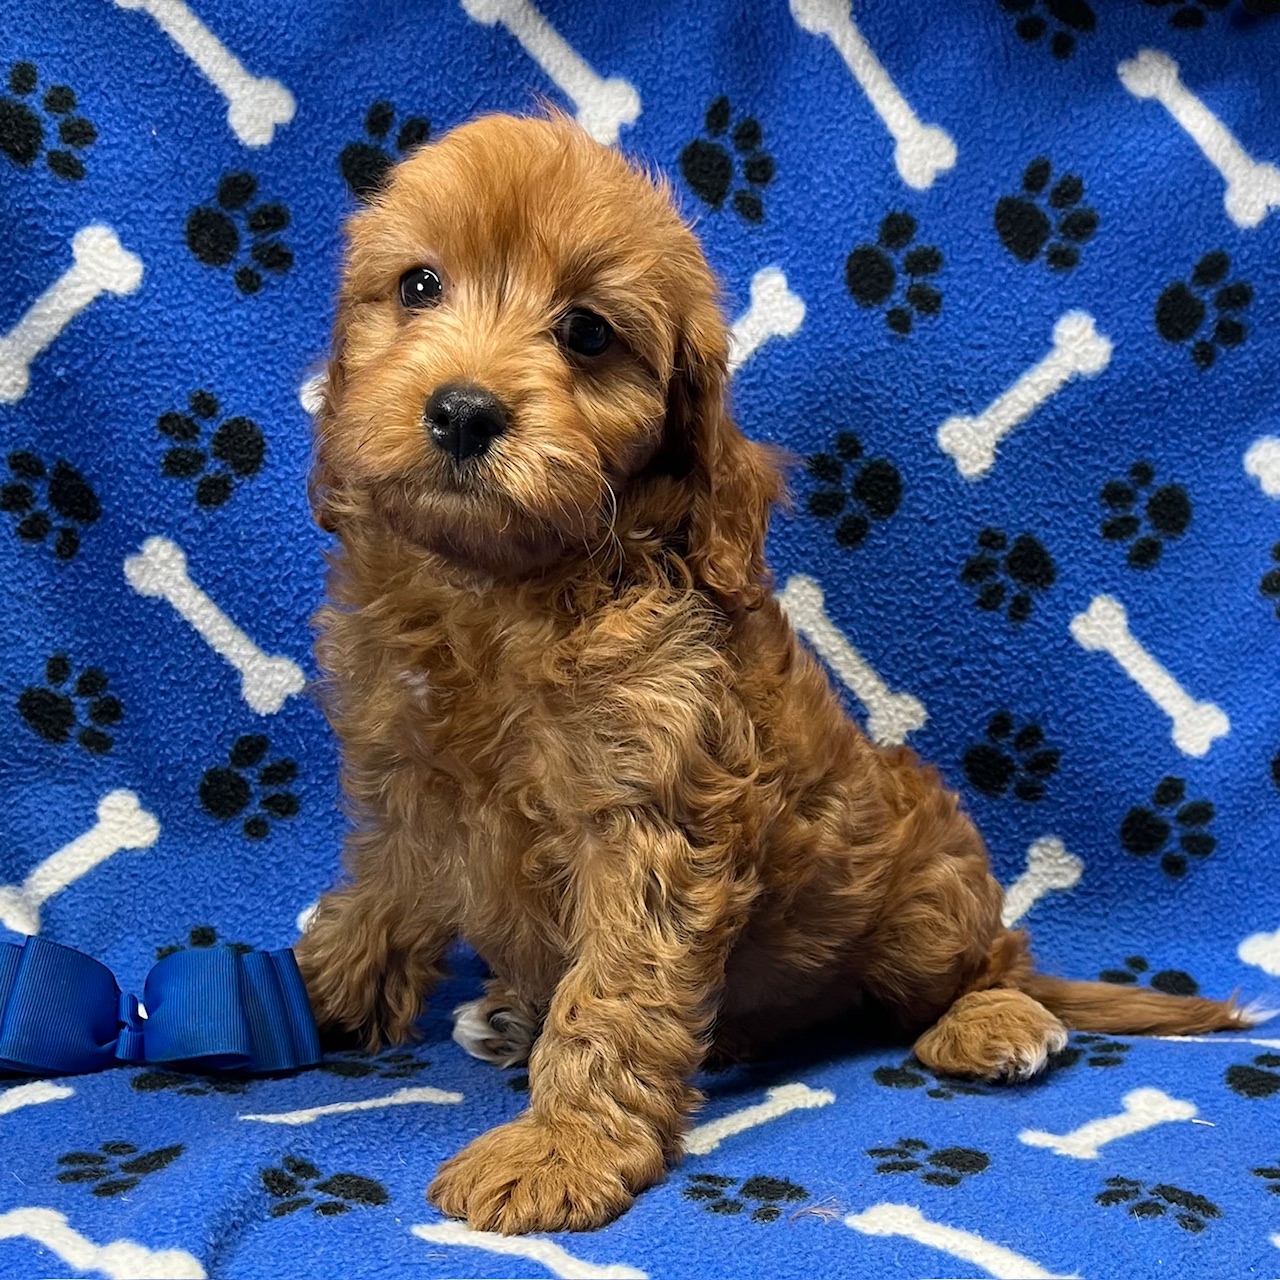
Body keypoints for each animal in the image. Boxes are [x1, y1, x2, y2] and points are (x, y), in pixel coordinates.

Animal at [294, 115, 1244, 1233]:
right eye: (419, 285)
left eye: (586, 333)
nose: (463, 412)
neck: (497, 587)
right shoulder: (404, 781)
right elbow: (376, 895)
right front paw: (308, 992)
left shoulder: (649, 819)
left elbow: (614, 992)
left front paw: (564, 1146)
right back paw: (516, 1014)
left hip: (922, 891)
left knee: (983, 961)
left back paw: (996, 1019)